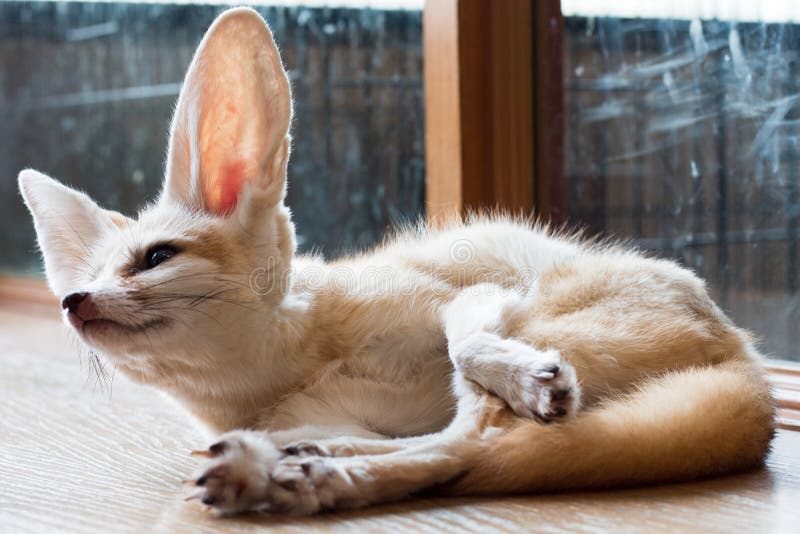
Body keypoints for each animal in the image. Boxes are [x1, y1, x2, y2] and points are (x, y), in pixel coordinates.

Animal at [19, 7, 774, 516]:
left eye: (155, 257)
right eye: (84, 280)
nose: (72, 303)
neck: (288, 366)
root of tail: (748, 359)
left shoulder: (468, 292)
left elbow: (465, 346)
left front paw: (522, 376)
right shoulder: (330, 415)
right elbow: (413, 437)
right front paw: (299, 461)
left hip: (547, 314)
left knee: (474, 438)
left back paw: (307, 474)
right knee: (458, 448)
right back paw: (287, 473)